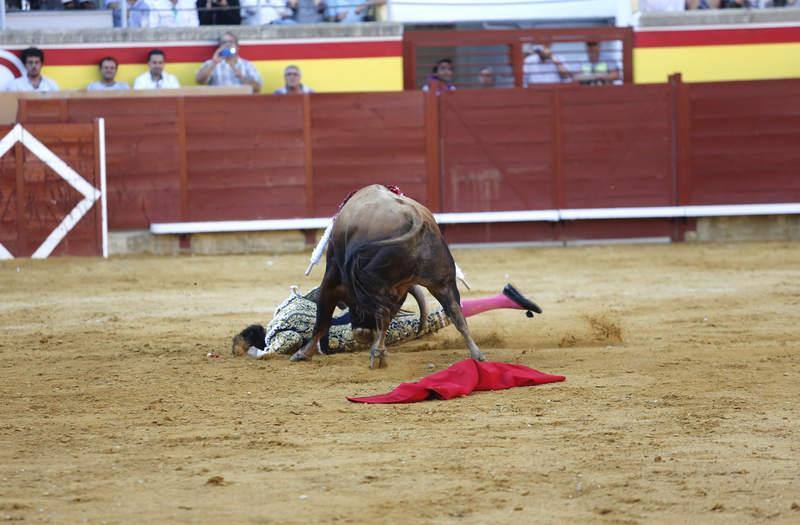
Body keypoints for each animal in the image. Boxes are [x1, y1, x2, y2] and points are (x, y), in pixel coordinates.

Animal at [290, 184, 484, 368]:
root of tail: (416, 218)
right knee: (455, 311)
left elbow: (322, 319)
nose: (363, 333)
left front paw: (302, 353)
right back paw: (477, 354)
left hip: (375, 280)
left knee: (383, 314)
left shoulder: (333, 275)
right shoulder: (398, 291)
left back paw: (377, 354)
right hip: (443, 281)